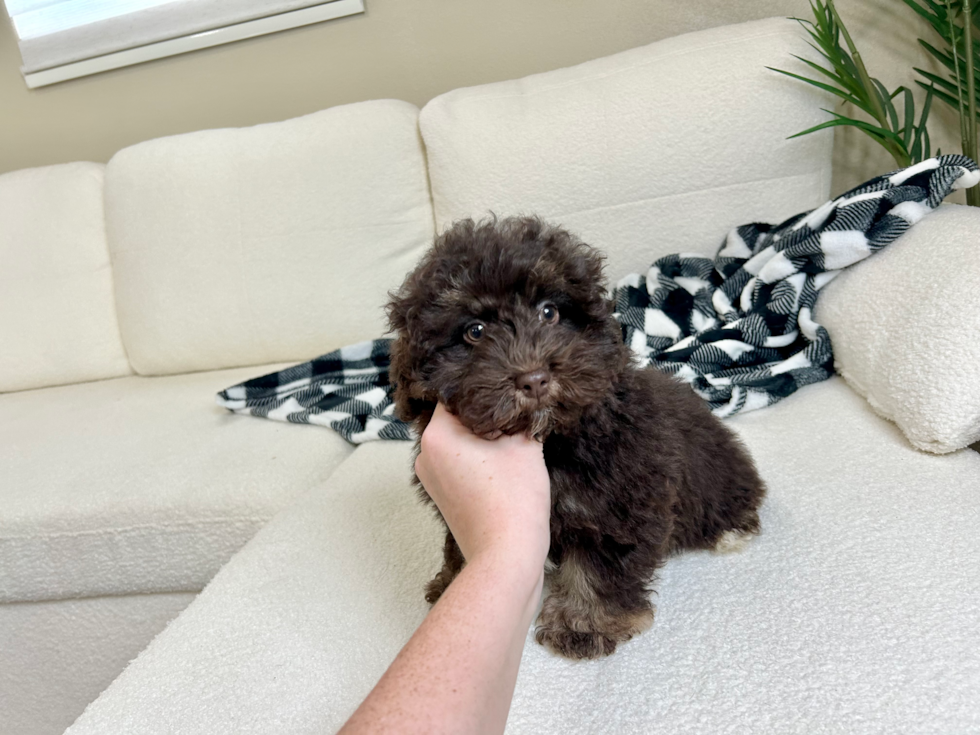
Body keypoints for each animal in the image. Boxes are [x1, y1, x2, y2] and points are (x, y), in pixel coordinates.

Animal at [386, 216, 768, 660]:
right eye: (474, 332)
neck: (552, 440)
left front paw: (584, 623)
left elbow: (599, 564)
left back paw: (730, 529)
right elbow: (462, 542)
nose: (534, 379)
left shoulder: (618, 504)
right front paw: (453, 583)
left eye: (549, 312)